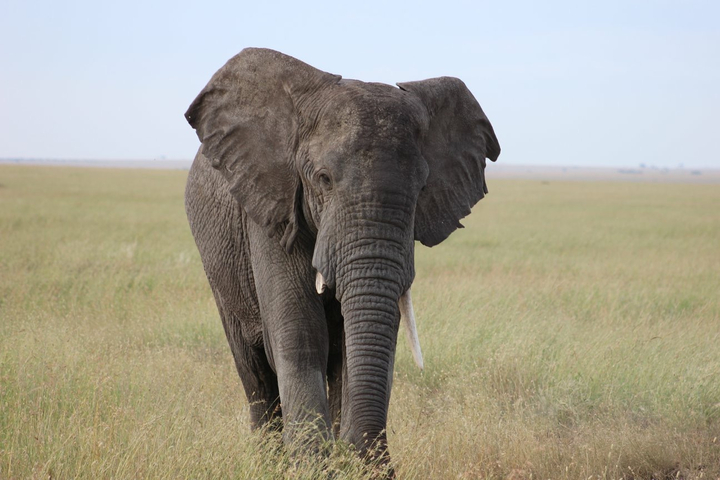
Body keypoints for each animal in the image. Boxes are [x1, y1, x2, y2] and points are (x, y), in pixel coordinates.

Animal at [183, 48, 500, 470]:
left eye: (421, 188)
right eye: (323, 179)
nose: (364, 455)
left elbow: (368, 337)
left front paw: (347, 465)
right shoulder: (271, 209)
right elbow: (299, 333)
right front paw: (312, 467)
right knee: (254, 373)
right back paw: (269, 461)